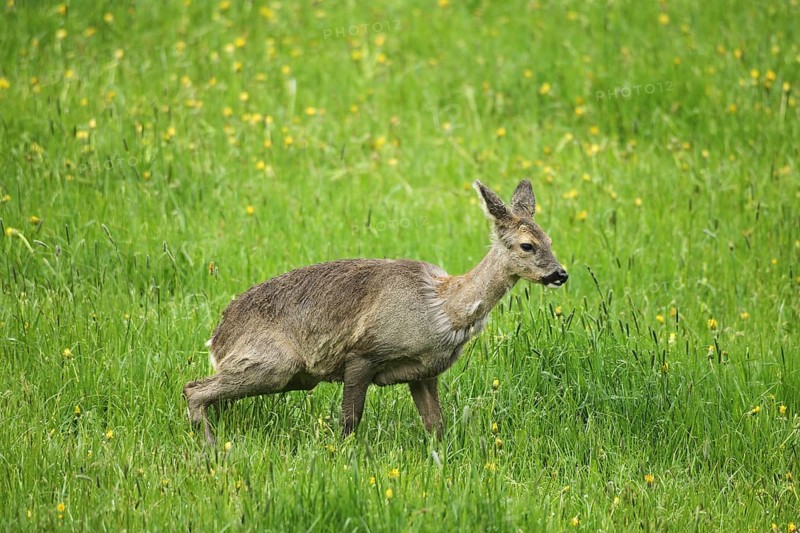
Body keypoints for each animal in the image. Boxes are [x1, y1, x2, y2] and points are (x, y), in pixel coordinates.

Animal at [183, 180, 568, 445]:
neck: (442, 308)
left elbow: (436, 426)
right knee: (193, 388)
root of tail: (217, 340)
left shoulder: (424, 372)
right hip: (273, 363)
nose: (560, 274)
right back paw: (211, 446)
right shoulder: (362, 353)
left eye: (550, 240)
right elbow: (349, 423)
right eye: (527, 245)